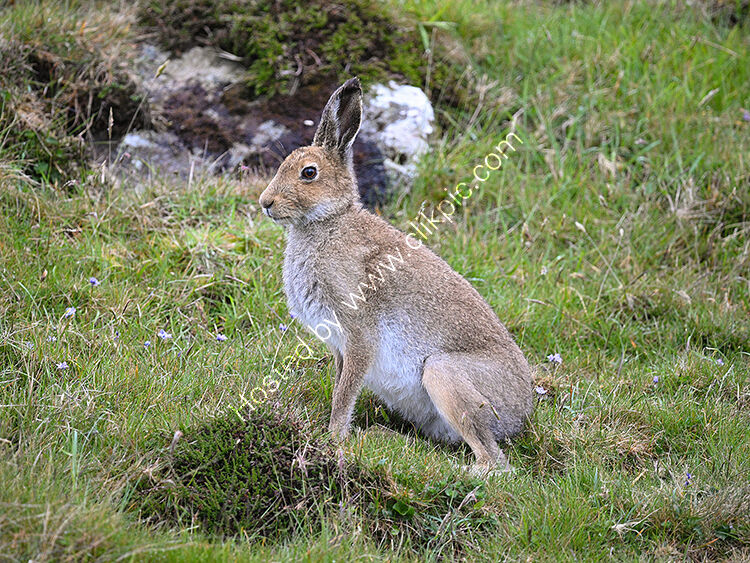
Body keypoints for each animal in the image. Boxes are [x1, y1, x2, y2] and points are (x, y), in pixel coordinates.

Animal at [259, 77, 533, 472]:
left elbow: (345, 394)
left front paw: (333, 438)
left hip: (444, 375)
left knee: (493, 463)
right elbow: (341, 385)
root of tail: (520, 416)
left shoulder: (359, 333)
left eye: (308, 173)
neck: (329, 221)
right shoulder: (339, 347)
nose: (265, 202)